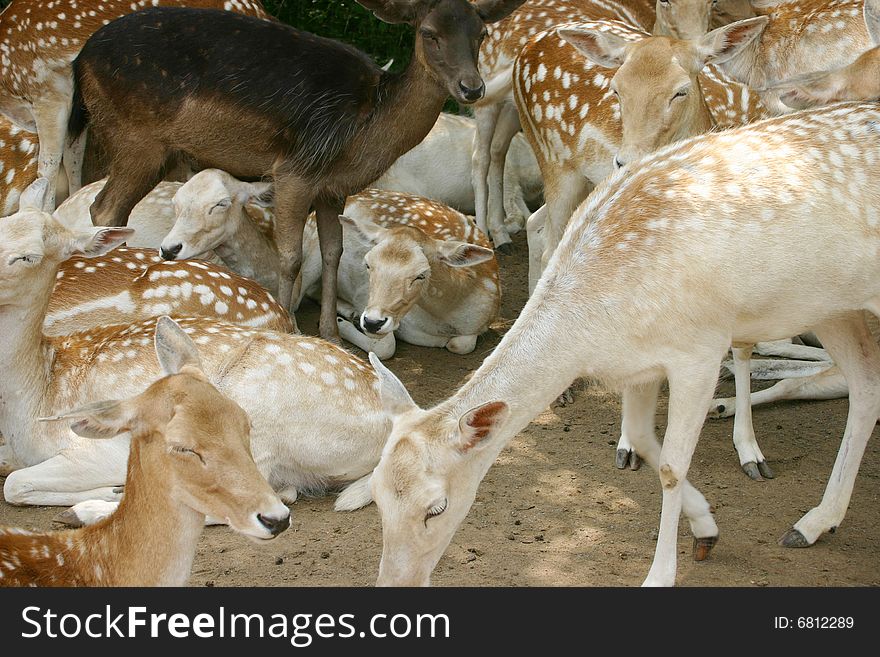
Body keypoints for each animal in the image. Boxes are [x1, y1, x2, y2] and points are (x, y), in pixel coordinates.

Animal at [0, 205, 392, 512]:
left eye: (29, 255)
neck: (37, 398)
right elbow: (14, 481)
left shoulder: (100, 448)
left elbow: (13, 483)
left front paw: (111, 490)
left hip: (255, 420)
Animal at [69, 1, 524, 344]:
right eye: (429, 32)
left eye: (481, 34)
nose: (472, 88)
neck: (364, 131)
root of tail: (80, 61)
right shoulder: (294, 172)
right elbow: (291, 257)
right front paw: (289, 324)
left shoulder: (333, 189)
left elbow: (333, 251)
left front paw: (331, 333)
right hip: (136, 141)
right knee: (105, 208)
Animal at [364, 105, 880, 588]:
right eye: (378, 494)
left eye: (436, 507)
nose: (394, 583)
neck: (598, 331)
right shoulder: (641, 364)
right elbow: (645, 441)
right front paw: (706, 530)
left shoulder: (699, 349)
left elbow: (671, 465)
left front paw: (660, 574)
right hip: (833, 308)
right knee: (865, 390)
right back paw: (814, 523)